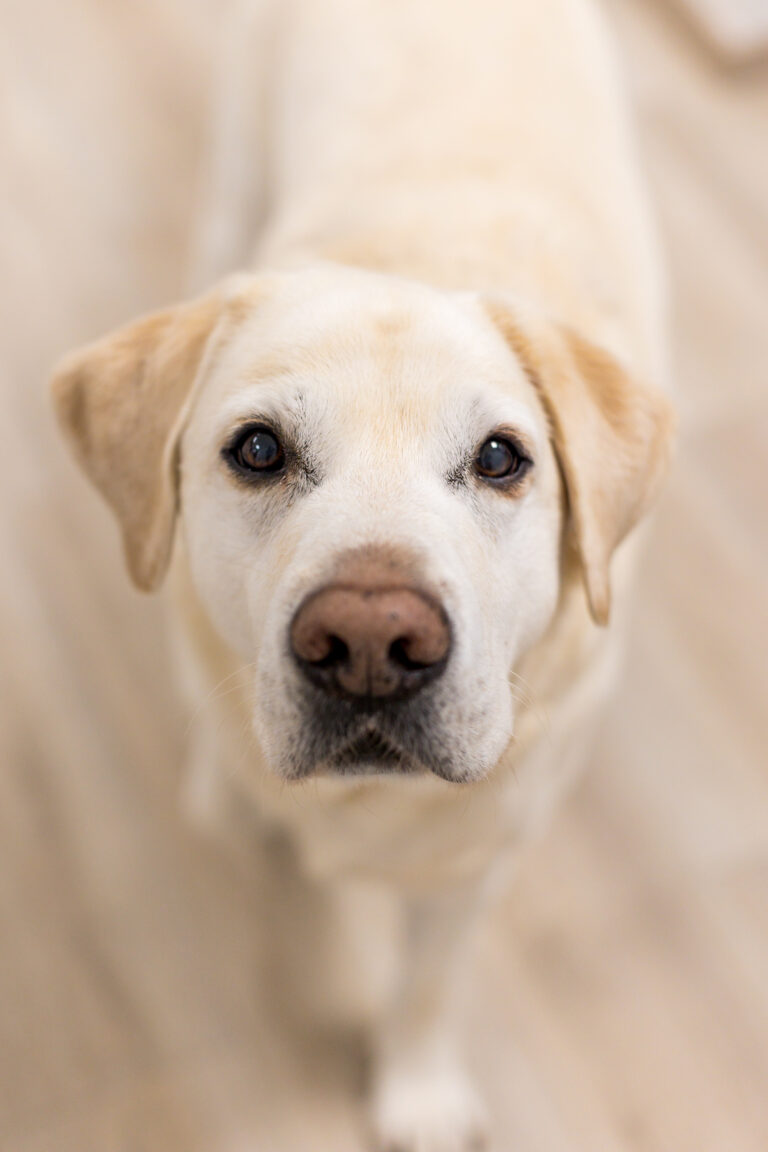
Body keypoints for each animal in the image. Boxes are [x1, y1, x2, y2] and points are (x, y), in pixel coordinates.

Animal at [49, 2, 672, 1152]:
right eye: (256, 450)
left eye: (501, 458)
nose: (374, 645)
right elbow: (297, 887)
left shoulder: (477, 861)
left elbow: (427, 984)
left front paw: (415, 1092)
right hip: (234, 183)